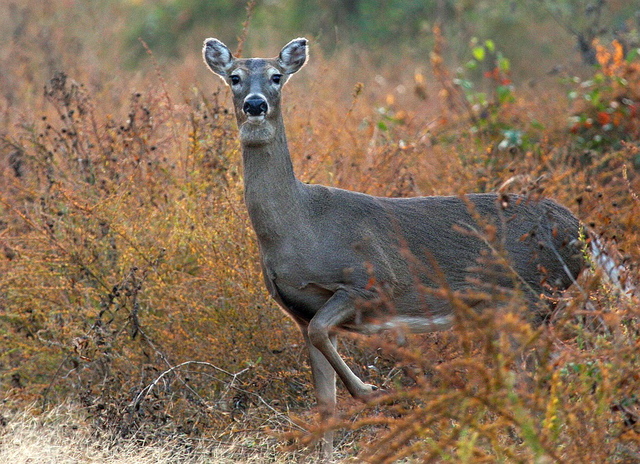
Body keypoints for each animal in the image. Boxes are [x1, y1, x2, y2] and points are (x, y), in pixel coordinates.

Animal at [202, 37, 588, 459]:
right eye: (234, 77)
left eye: (276, 76)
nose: (256, 104)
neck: (298, 228)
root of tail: (578, 230)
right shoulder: (298, 313)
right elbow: (325, 401)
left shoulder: (370, 281)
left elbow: (326, 335)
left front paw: (372, 390)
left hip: (533, 295)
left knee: (535, 376)